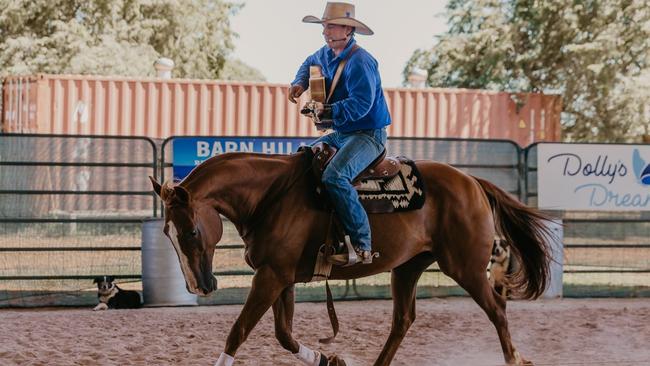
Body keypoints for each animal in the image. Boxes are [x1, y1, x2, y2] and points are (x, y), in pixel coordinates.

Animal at [149, 149, 548, 366]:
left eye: (191, 232)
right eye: (168, 234)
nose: (199, 287)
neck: (271, 194)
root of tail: (473, 182)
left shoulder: (271, 276)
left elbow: (239, 332)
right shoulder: (279, 276)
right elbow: (283, 334)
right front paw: (329, 358)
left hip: (464, 266)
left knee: (497, 309)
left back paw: (514, 358)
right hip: (408, 268)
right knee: (403, 320)